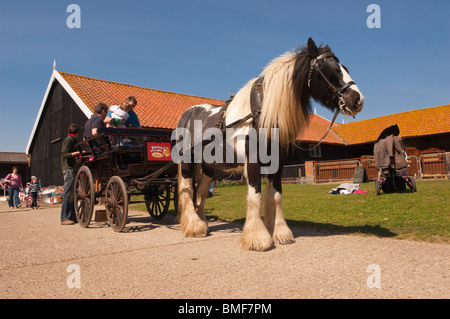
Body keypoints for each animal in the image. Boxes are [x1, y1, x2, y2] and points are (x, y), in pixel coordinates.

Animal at [174, 38, 364, 251]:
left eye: (344, 68)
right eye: (331, 70)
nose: (357, 100)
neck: (261, 112)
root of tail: (186, 115)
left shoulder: (277, 164)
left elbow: (276, 196)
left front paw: (280, 233)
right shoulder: (253, 163)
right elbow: (255, 196)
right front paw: (258, 238)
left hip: (209, 168)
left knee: (200, 193)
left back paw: (202, 225)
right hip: (187, 164)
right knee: (187, 191)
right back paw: (193, 227)